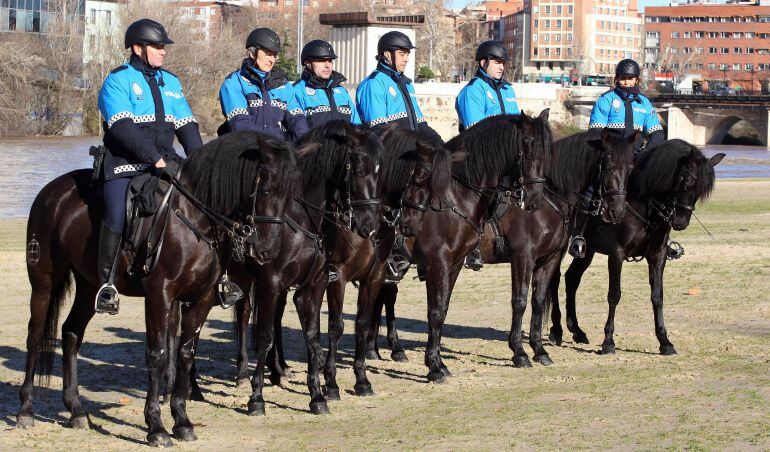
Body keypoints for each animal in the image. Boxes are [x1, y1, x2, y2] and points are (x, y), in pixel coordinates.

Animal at [16, 131, 312, 447]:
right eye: (266, 190)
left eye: (292, 195)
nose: (268, 250)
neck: (195, 216)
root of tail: (52, 191)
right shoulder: (160, 295)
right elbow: (157, 355)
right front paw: (156, 427)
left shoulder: (201, 299)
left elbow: (185, 353)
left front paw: (181, 421)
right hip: (44, 281)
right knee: (36, 335)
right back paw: (26, 410)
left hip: (88, 286)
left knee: (71, 333)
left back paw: (76, 411)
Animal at [366, 110, 554, 382]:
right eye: (529, 151)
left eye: (547, 154)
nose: (534, 201)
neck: (457, 196)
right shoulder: (438, 263)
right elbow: (434, 311)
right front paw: (434, 367)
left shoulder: (454, 264)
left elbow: (442, 309)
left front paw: (437, 362)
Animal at [476, 128, 637, 367]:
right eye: (608, 165)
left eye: (630, 168)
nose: (616, 211)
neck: (544, 201)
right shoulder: (523, 258)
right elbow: (520, 300)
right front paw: (519, 352)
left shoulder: (548, 260)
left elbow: (538, 300)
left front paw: (539, 350)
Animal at [546, 140, 724, 356]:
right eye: (686, 184)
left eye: (700, 192)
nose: (680, 222)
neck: (643, 204)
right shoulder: (616, 254)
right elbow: (614, 295)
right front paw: (608, 341)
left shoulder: (657, 255)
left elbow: (657, 296)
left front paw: (665, 341)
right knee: (554, 279)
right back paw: (556, 330)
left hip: (587, 250)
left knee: (572, 278)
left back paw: (577, 331)